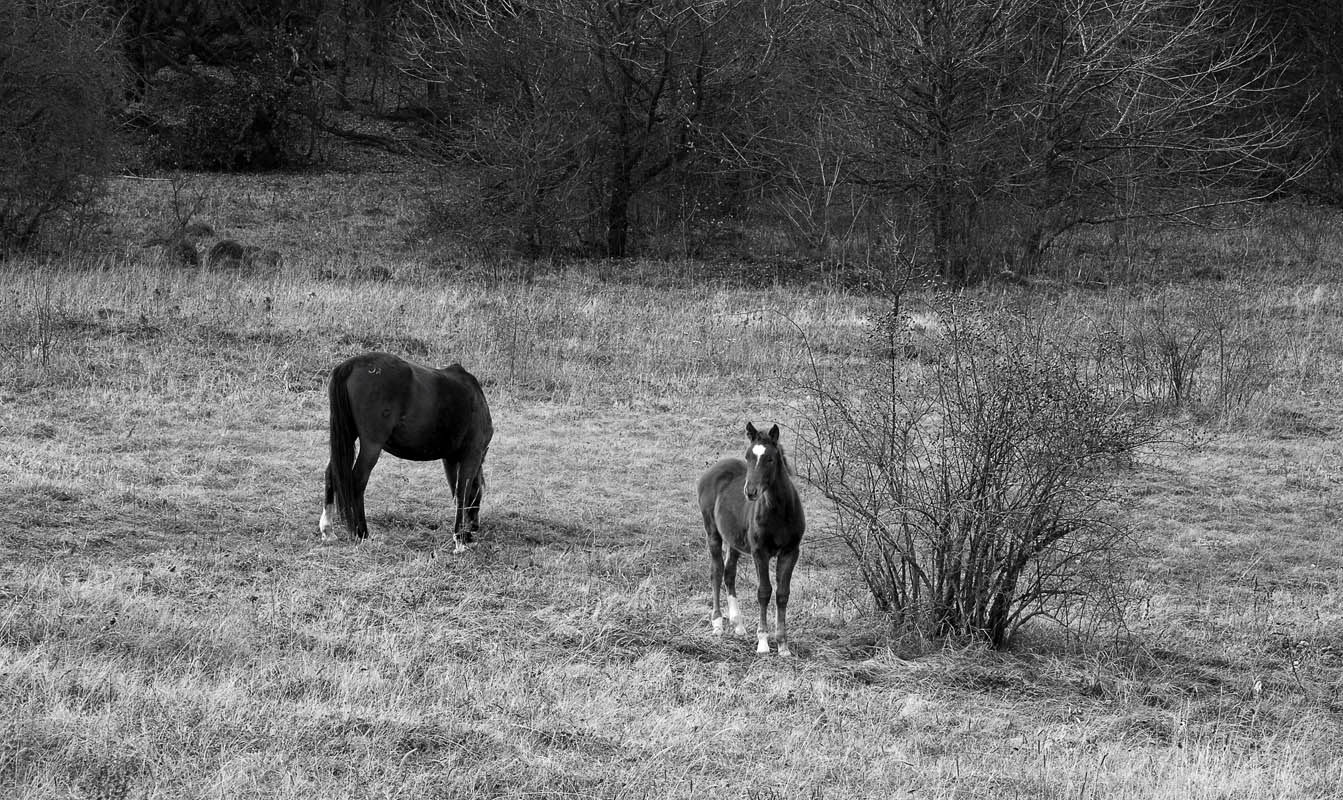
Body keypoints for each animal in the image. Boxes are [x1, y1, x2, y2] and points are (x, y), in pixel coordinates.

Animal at [320, 354, 494, 553]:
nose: (475, 527)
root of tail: (353, 363)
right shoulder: (471, 456)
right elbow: (463, 492)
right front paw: (460, 541)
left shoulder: (449, 459)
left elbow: (456, 492)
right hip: (371, 446)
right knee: (357, 481)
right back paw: (362, 533)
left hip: (347, 436)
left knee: (331, 474)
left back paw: (328, 530)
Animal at [698, 421, 800, 652]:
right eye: (748, 457)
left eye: (770, 458)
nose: (750, 492)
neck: (780, 512)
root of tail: (711, 471)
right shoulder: (759, 552)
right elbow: (764, 591)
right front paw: (763, 642)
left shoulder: (791, 551)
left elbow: (783, 594)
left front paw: (783, 646)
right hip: (713, 533)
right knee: (716, 572)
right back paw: (718, 623)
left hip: (734, 541)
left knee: (729, 573)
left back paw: (738, 625)